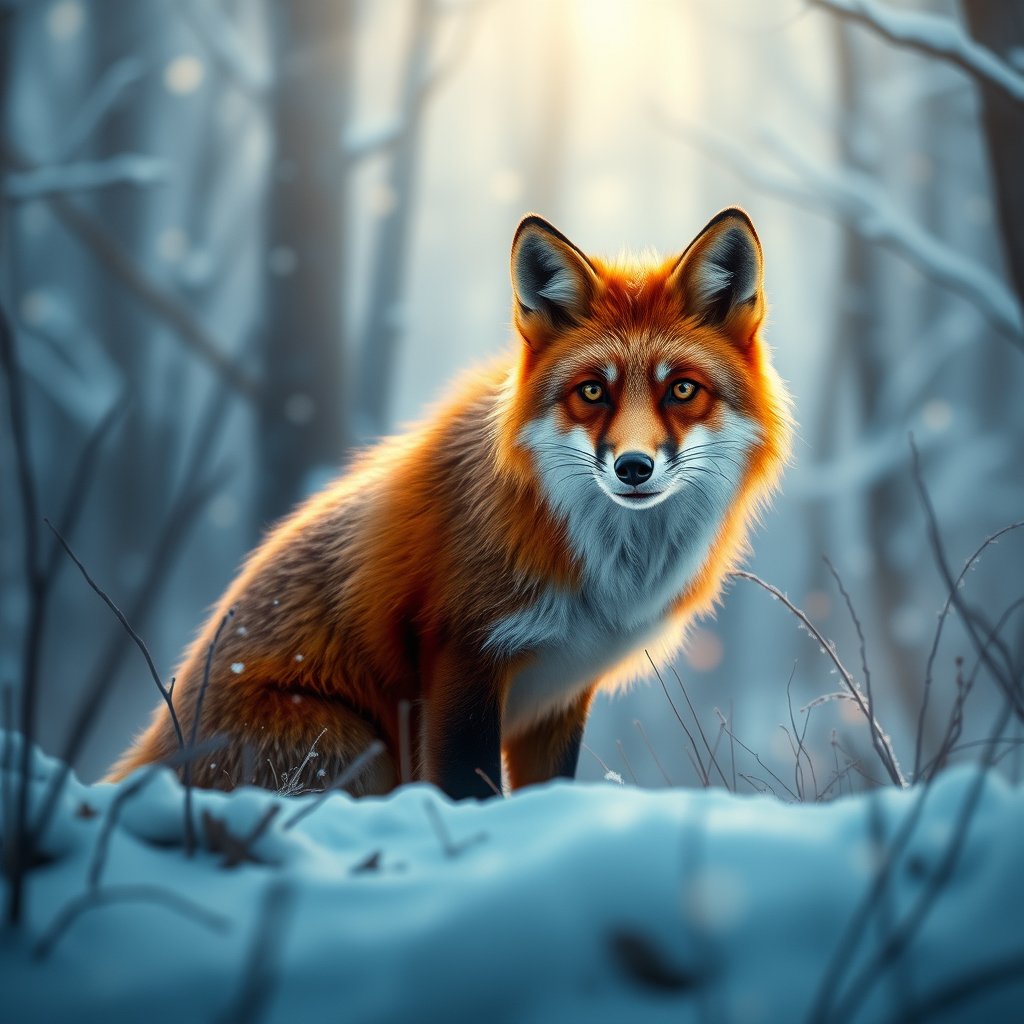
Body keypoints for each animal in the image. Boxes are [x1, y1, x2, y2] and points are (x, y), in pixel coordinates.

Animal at [107, 207, 792, 799]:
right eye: (592, 391)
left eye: (682, 390)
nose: (632, 467)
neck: (601, 566)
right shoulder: (463, 656)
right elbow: (470, 790)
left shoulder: (560, 695)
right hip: (355, 742)